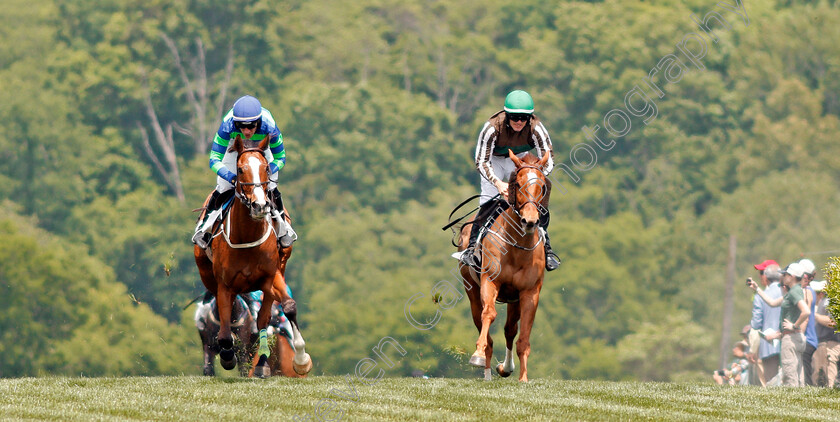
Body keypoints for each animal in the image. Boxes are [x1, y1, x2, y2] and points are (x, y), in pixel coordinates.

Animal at [194, 136, 312, 380]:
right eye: (240, 169)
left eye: (266, 168)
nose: (259, 205)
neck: (247, 235)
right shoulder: (224, 283)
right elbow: (224, 332)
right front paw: (228, 356)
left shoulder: (271, 275)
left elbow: (287, 307)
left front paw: (302, 360)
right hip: (208, 274)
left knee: (263, 318)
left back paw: (262, 363)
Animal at [456, 149, 548, 382]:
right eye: (518, 184)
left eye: (542, 185)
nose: (530, 221)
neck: (516, 247)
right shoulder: (490, 281)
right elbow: (489, 315)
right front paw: (478, 355)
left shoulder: (529, 292)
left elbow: (522, 337)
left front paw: (523, 378)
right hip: (472, 291)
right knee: (484, 324)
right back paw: (486, 369)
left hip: (514, 300)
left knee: (509, 330)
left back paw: (505, 368)